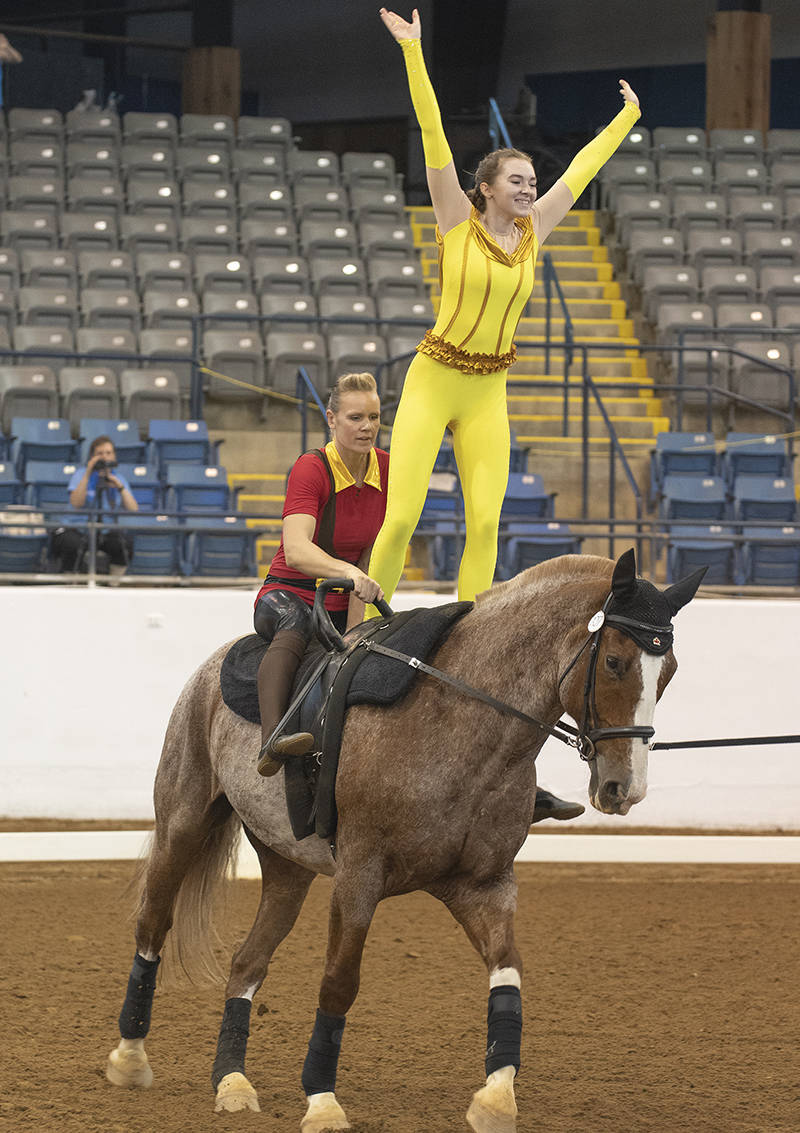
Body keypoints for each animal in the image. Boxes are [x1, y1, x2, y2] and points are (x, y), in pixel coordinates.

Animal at [104, 543, 698, 1128]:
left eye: (667, 671)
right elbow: (339, 982)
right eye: (615, 662)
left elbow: (508, 972)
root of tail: (211, 669)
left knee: (246, 963)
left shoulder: (483, 886)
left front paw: (496, 1098)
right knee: (152, 926)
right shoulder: (359, 877)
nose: (624, 788)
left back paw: (231, 1081)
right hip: (183, 824)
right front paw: (322, 1101)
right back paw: (130, 1058)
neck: (460, 720)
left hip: (286, 866)